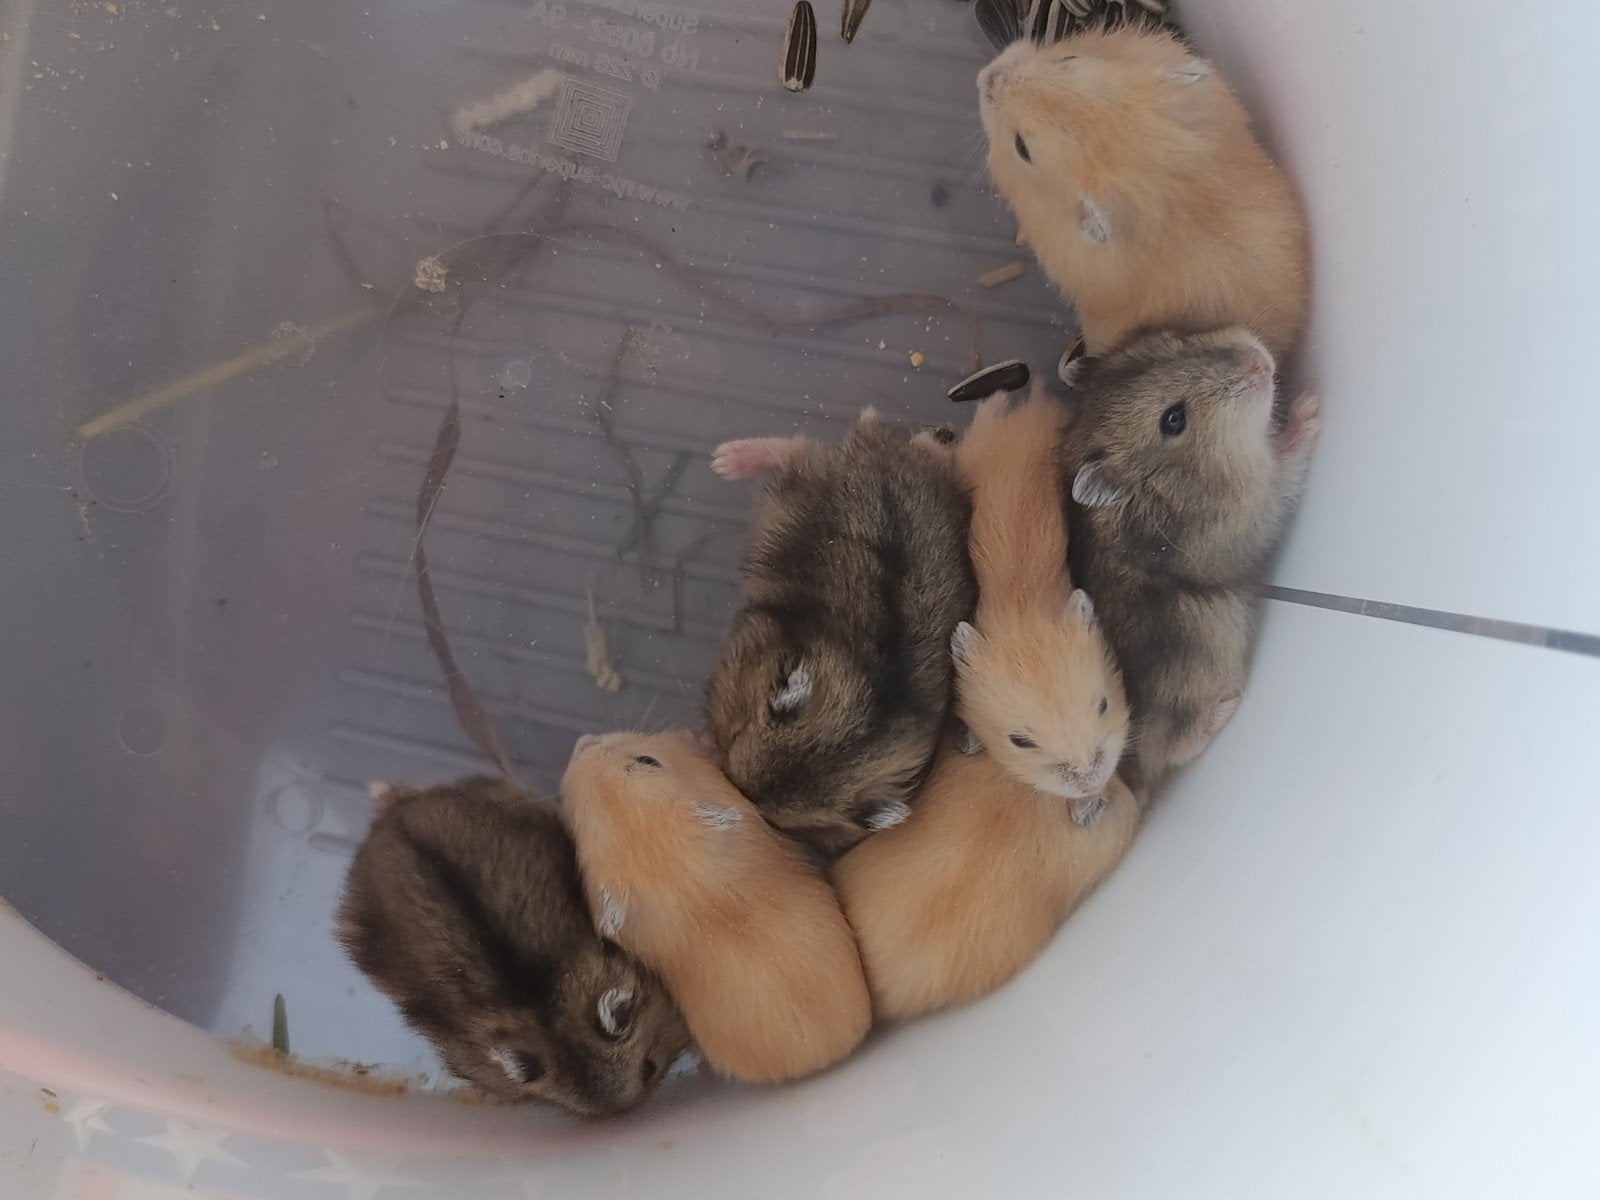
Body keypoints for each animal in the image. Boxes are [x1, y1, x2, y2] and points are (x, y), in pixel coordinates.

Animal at [706, 408, 977, 856]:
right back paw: (723, 461)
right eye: (735, 739)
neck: (866, 724)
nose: (722, 777)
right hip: (802, 488)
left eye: (774, 820)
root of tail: (878, 445)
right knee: (792, 448)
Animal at [1060, 327, 1322, 790]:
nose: (1260, 361)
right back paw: (1227, 706)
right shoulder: (1253, 511)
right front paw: (1309, 409)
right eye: (1173, 420)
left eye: (1173, 342)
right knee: (1173, 749)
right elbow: (1285, 470)